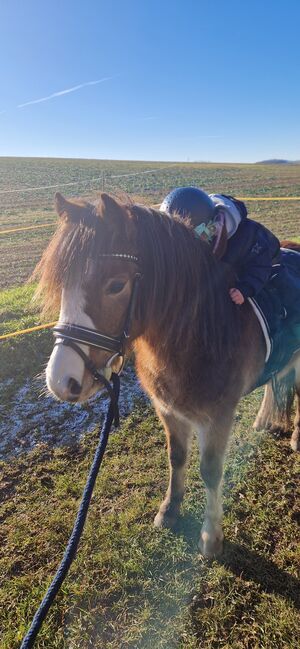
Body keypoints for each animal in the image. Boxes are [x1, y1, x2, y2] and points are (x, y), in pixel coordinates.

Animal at [35, 191, 300, 556]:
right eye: (62, 284)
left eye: (116, 285)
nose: (61, 381)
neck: (200, 333)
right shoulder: (168, 410)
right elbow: (177, 458)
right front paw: (169, 510)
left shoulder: (217, 417)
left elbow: (211, 471)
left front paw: (210, 537)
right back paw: (263, 421)